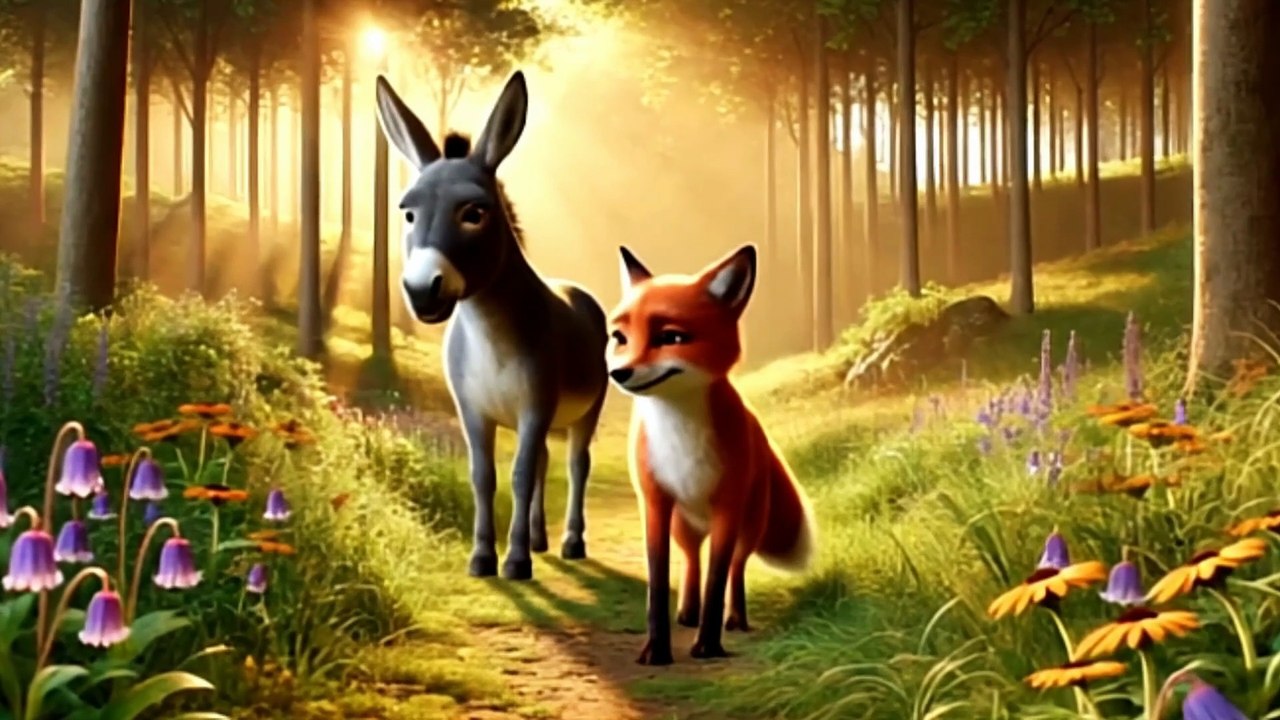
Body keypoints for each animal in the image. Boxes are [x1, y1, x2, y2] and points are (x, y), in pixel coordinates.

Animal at [606, 243, 816, 666]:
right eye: (620, 337)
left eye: (671, 337)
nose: (619, 373)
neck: (680, 439)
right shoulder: (654, 504)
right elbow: (658, 582)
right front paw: (657, 650)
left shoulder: (727, 506)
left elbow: (718, 580)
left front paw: (708, 646)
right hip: (682, 527)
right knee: (690, 561)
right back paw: (687, 611)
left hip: (749, 527)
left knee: (736, 569)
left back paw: (734, 620)